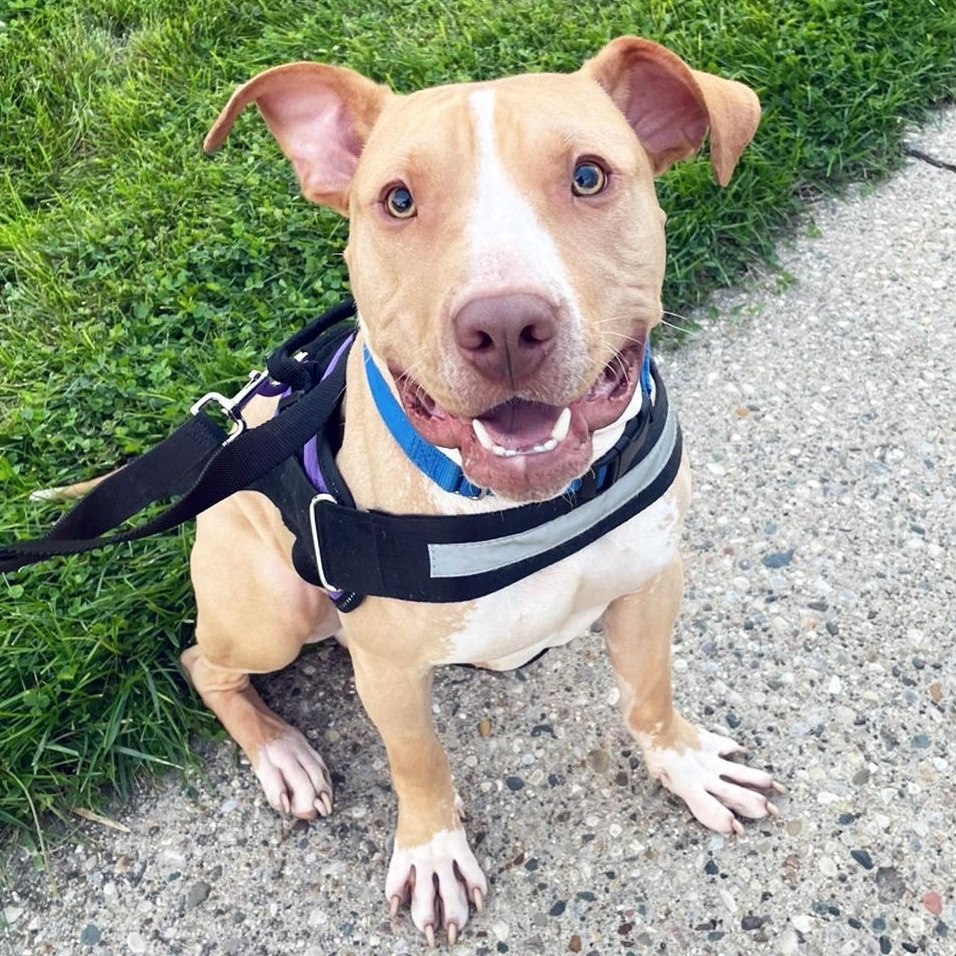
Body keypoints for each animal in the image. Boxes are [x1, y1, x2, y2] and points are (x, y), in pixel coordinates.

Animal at [181, 35, 776, 940]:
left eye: (590, 176)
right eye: (397, 200)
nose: (503, 326)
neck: (527, 511)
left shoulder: (651, 580)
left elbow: (648, 693)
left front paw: (684, 763)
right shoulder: (388, 670)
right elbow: (418, 761)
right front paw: (432, 852)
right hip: (271, 610)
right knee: (201, 662)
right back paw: (281, 752)